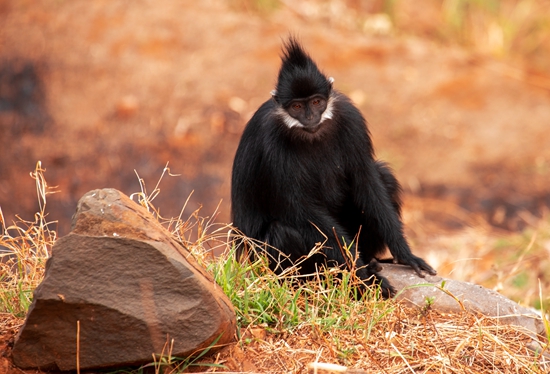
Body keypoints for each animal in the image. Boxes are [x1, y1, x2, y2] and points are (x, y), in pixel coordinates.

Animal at [231, 37, 438, 296]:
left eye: (317, 102)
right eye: (297, 107)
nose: (310, 118)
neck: (310, 133)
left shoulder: (350, 116)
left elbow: (366, 179)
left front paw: (405, 254)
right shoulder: (271, 141)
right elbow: (300, 208)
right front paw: (364, 277)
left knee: (384, 177)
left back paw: (372, 260)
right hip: (260, 261)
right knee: (281, 231)